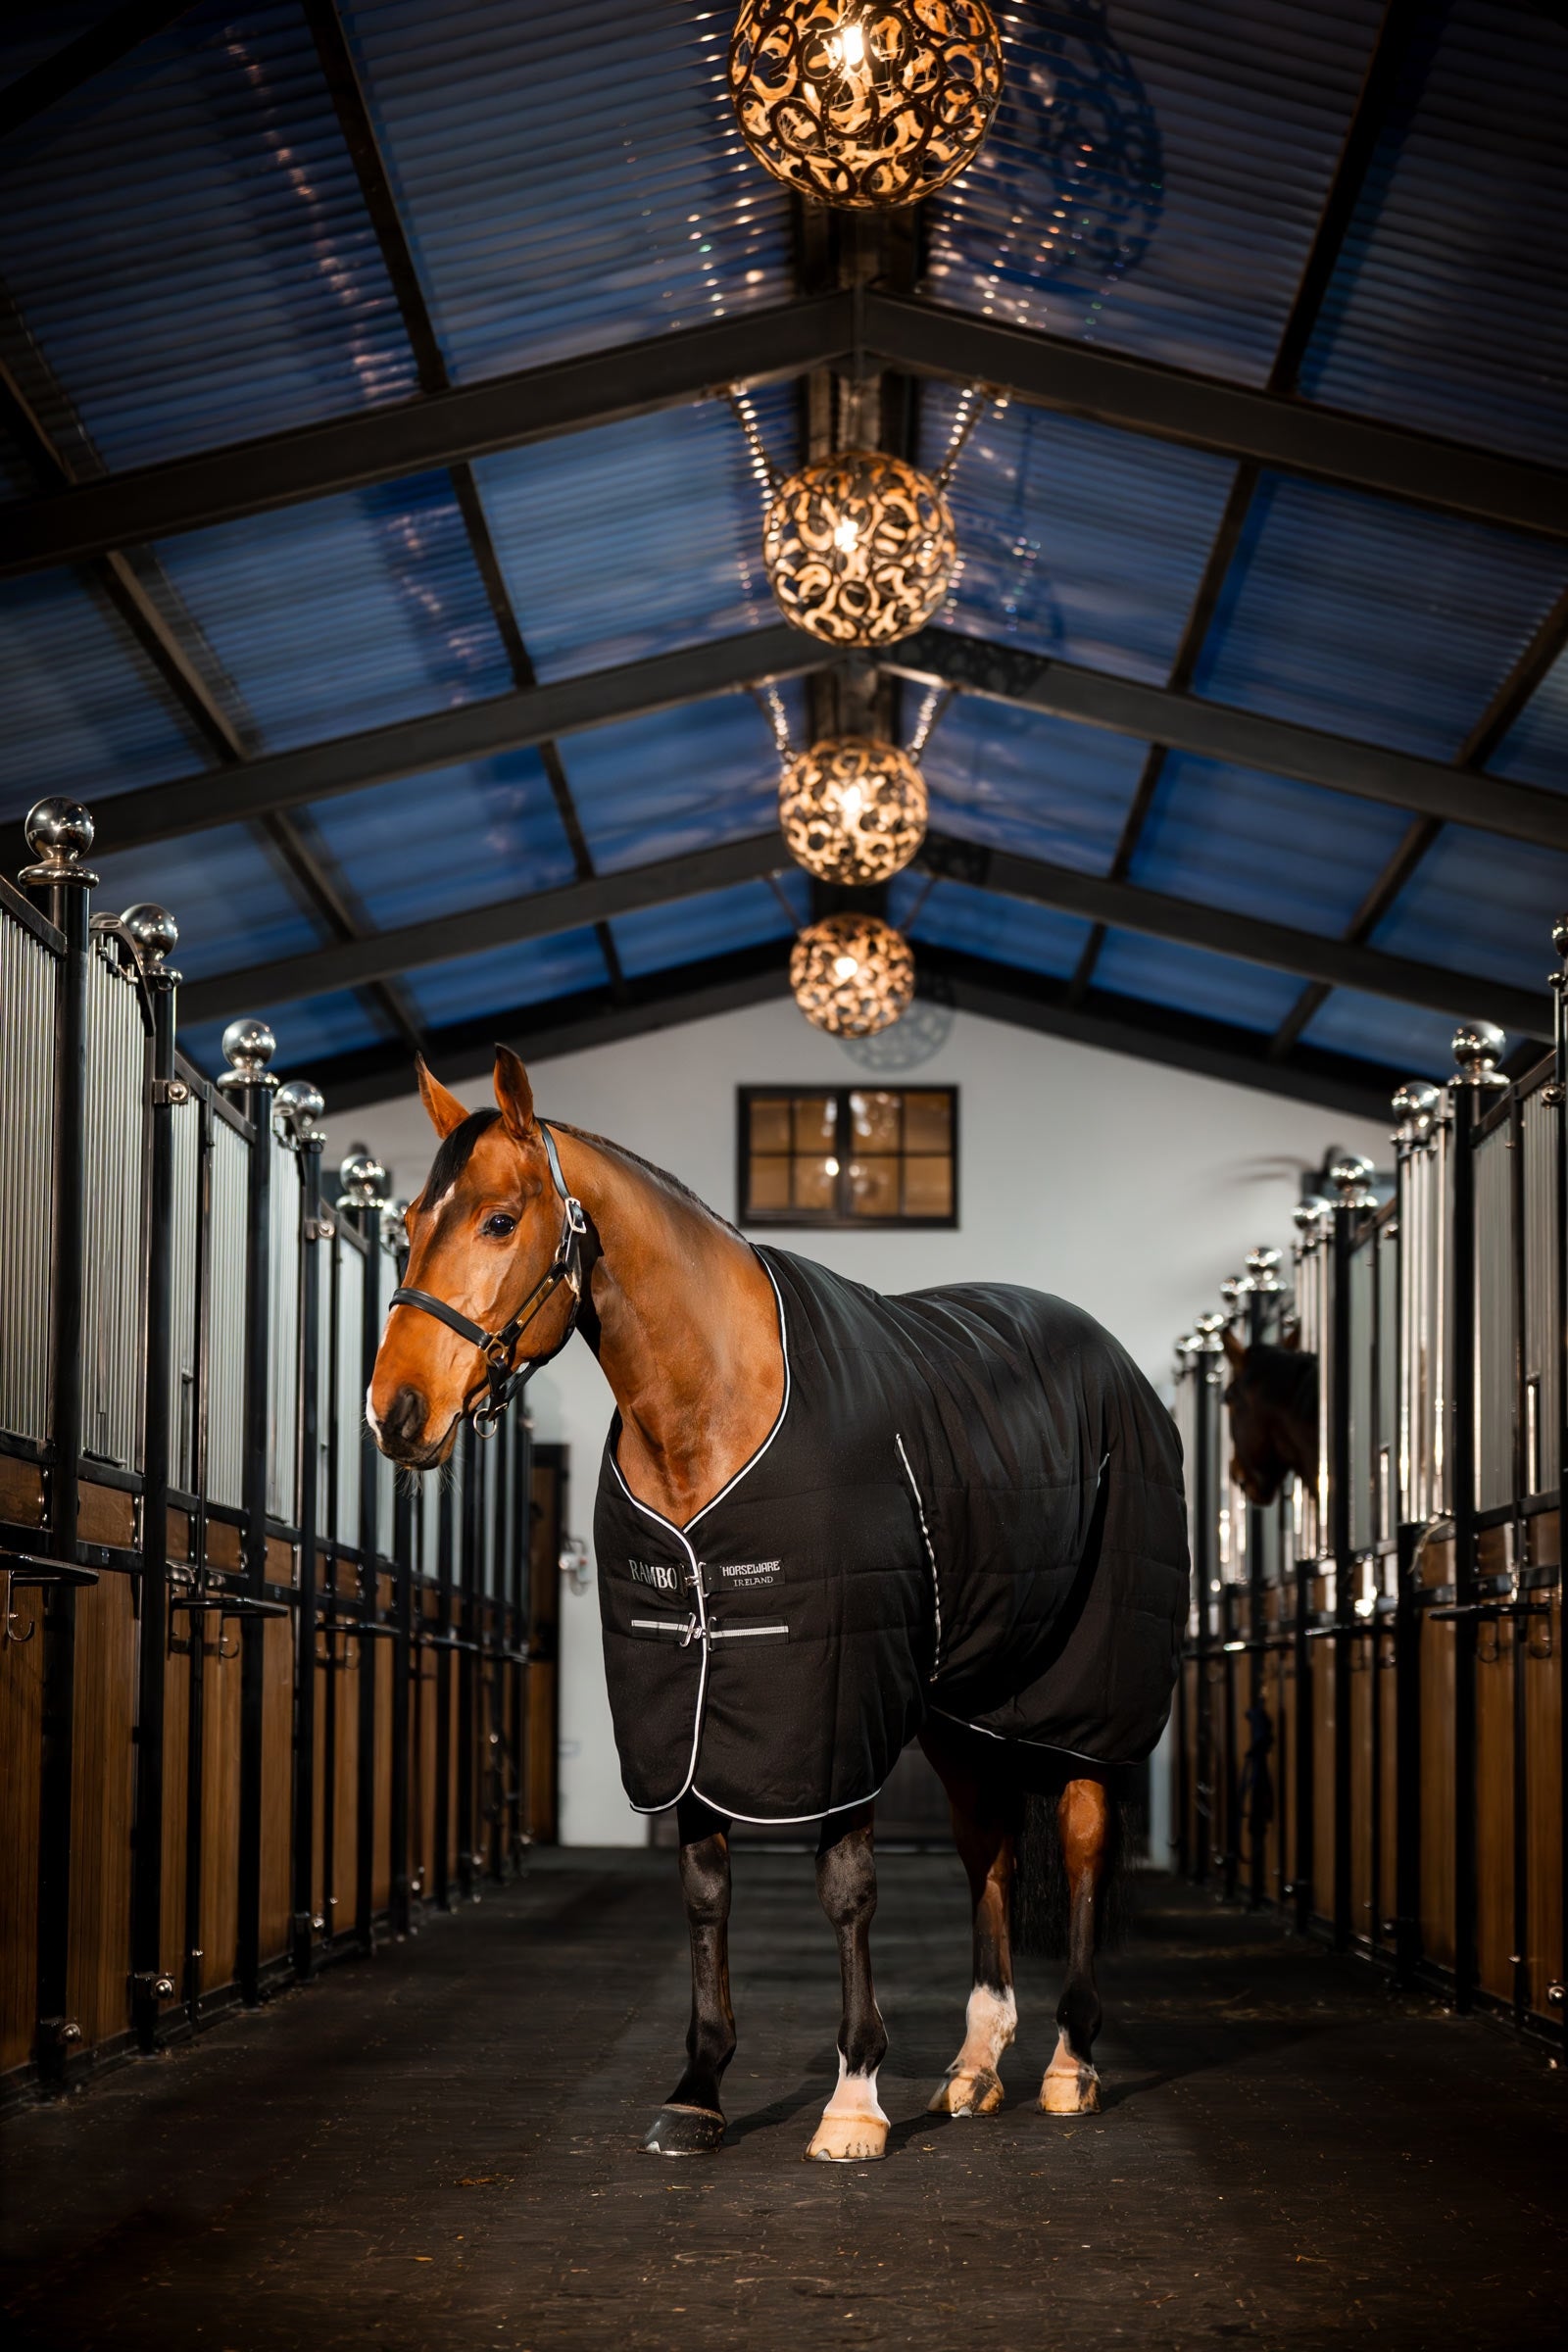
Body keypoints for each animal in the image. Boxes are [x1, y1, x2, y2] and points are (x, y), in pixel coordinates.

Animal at [369, 1048, 1189, 2162]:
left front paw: (853, 2099)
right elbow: (705, 1891)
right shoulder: (684, 1701)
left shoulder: (831, 1700)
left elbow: (846, 1891)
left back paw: (1070, 2066)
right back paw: (973, 2069)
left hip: (1088, 1698)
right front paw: (698, 2089)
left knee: (1083, 1844)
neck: (711, 1411)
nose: (395, 1412)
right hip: (961, 1709)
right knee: (989, 1851)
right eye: (411, 1219)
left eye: (498, 1221)